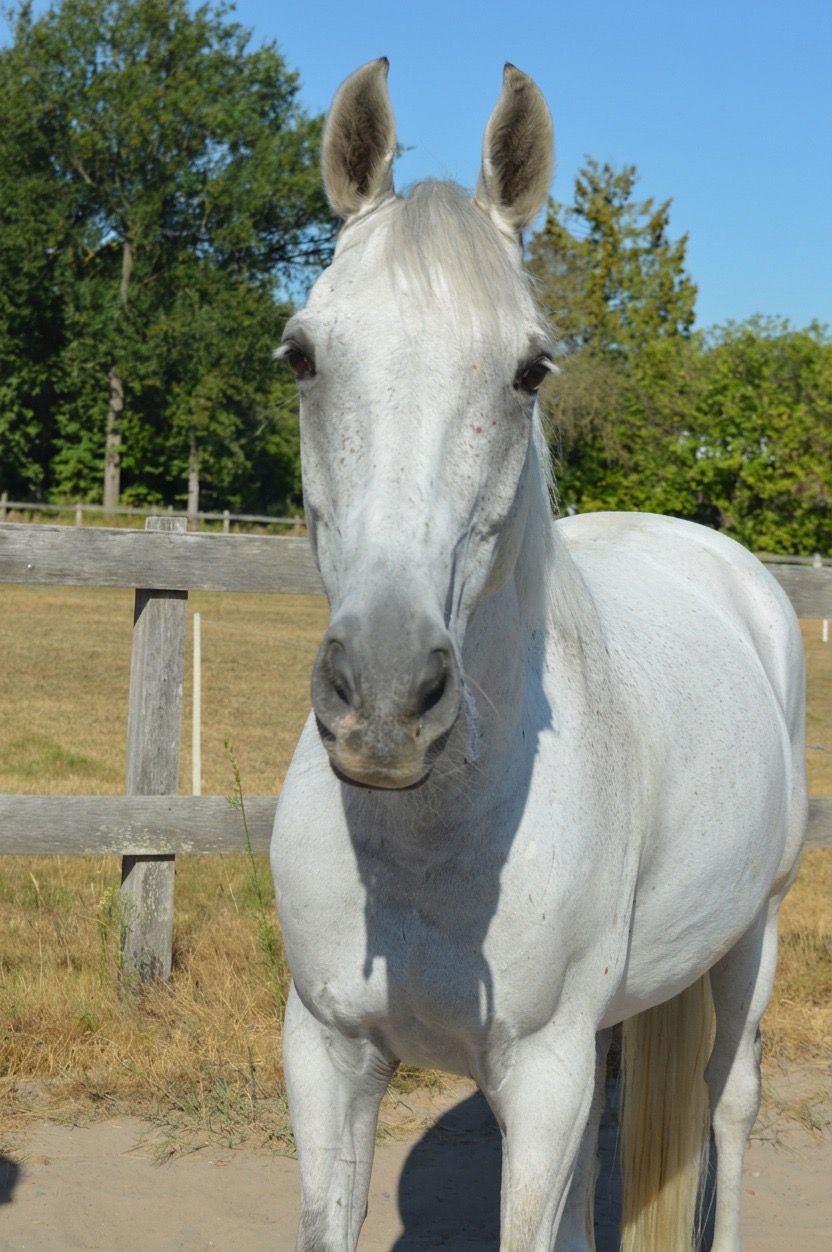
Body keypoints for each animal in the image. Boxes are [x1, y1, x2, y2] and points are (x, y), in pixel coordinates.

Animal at [271, 59, 807, 1251]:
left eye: (530, 370)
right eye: (302, 354)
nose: (386, 699)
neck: (430, 845)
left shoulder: (546, 1078)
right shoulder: (327, 1057)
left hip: (750, 941)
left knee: (731, 1105)